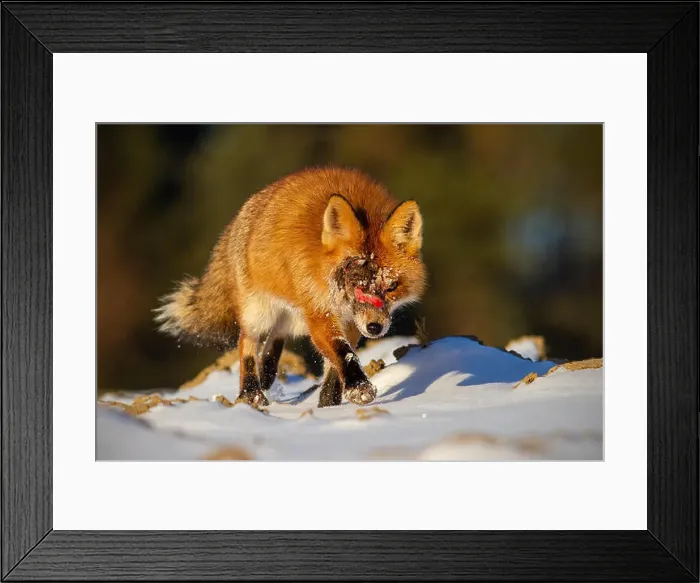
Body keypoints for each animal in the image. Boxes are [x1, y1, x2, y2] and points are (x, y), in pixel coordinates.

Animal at [155, 166, 426, 408]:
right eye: (354, 284)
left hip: (294, 315)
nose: (375, 328)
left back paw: (266, 374)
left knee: (275, 338)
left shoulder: (349, 321)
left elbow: (334, 368)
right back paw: (251, 394)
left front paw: (329, 404)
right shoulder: (319, 313)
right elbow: (342, 353)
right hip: (260, 312)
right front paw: (359, 389)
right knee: (247, 342)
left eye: (391, 286)